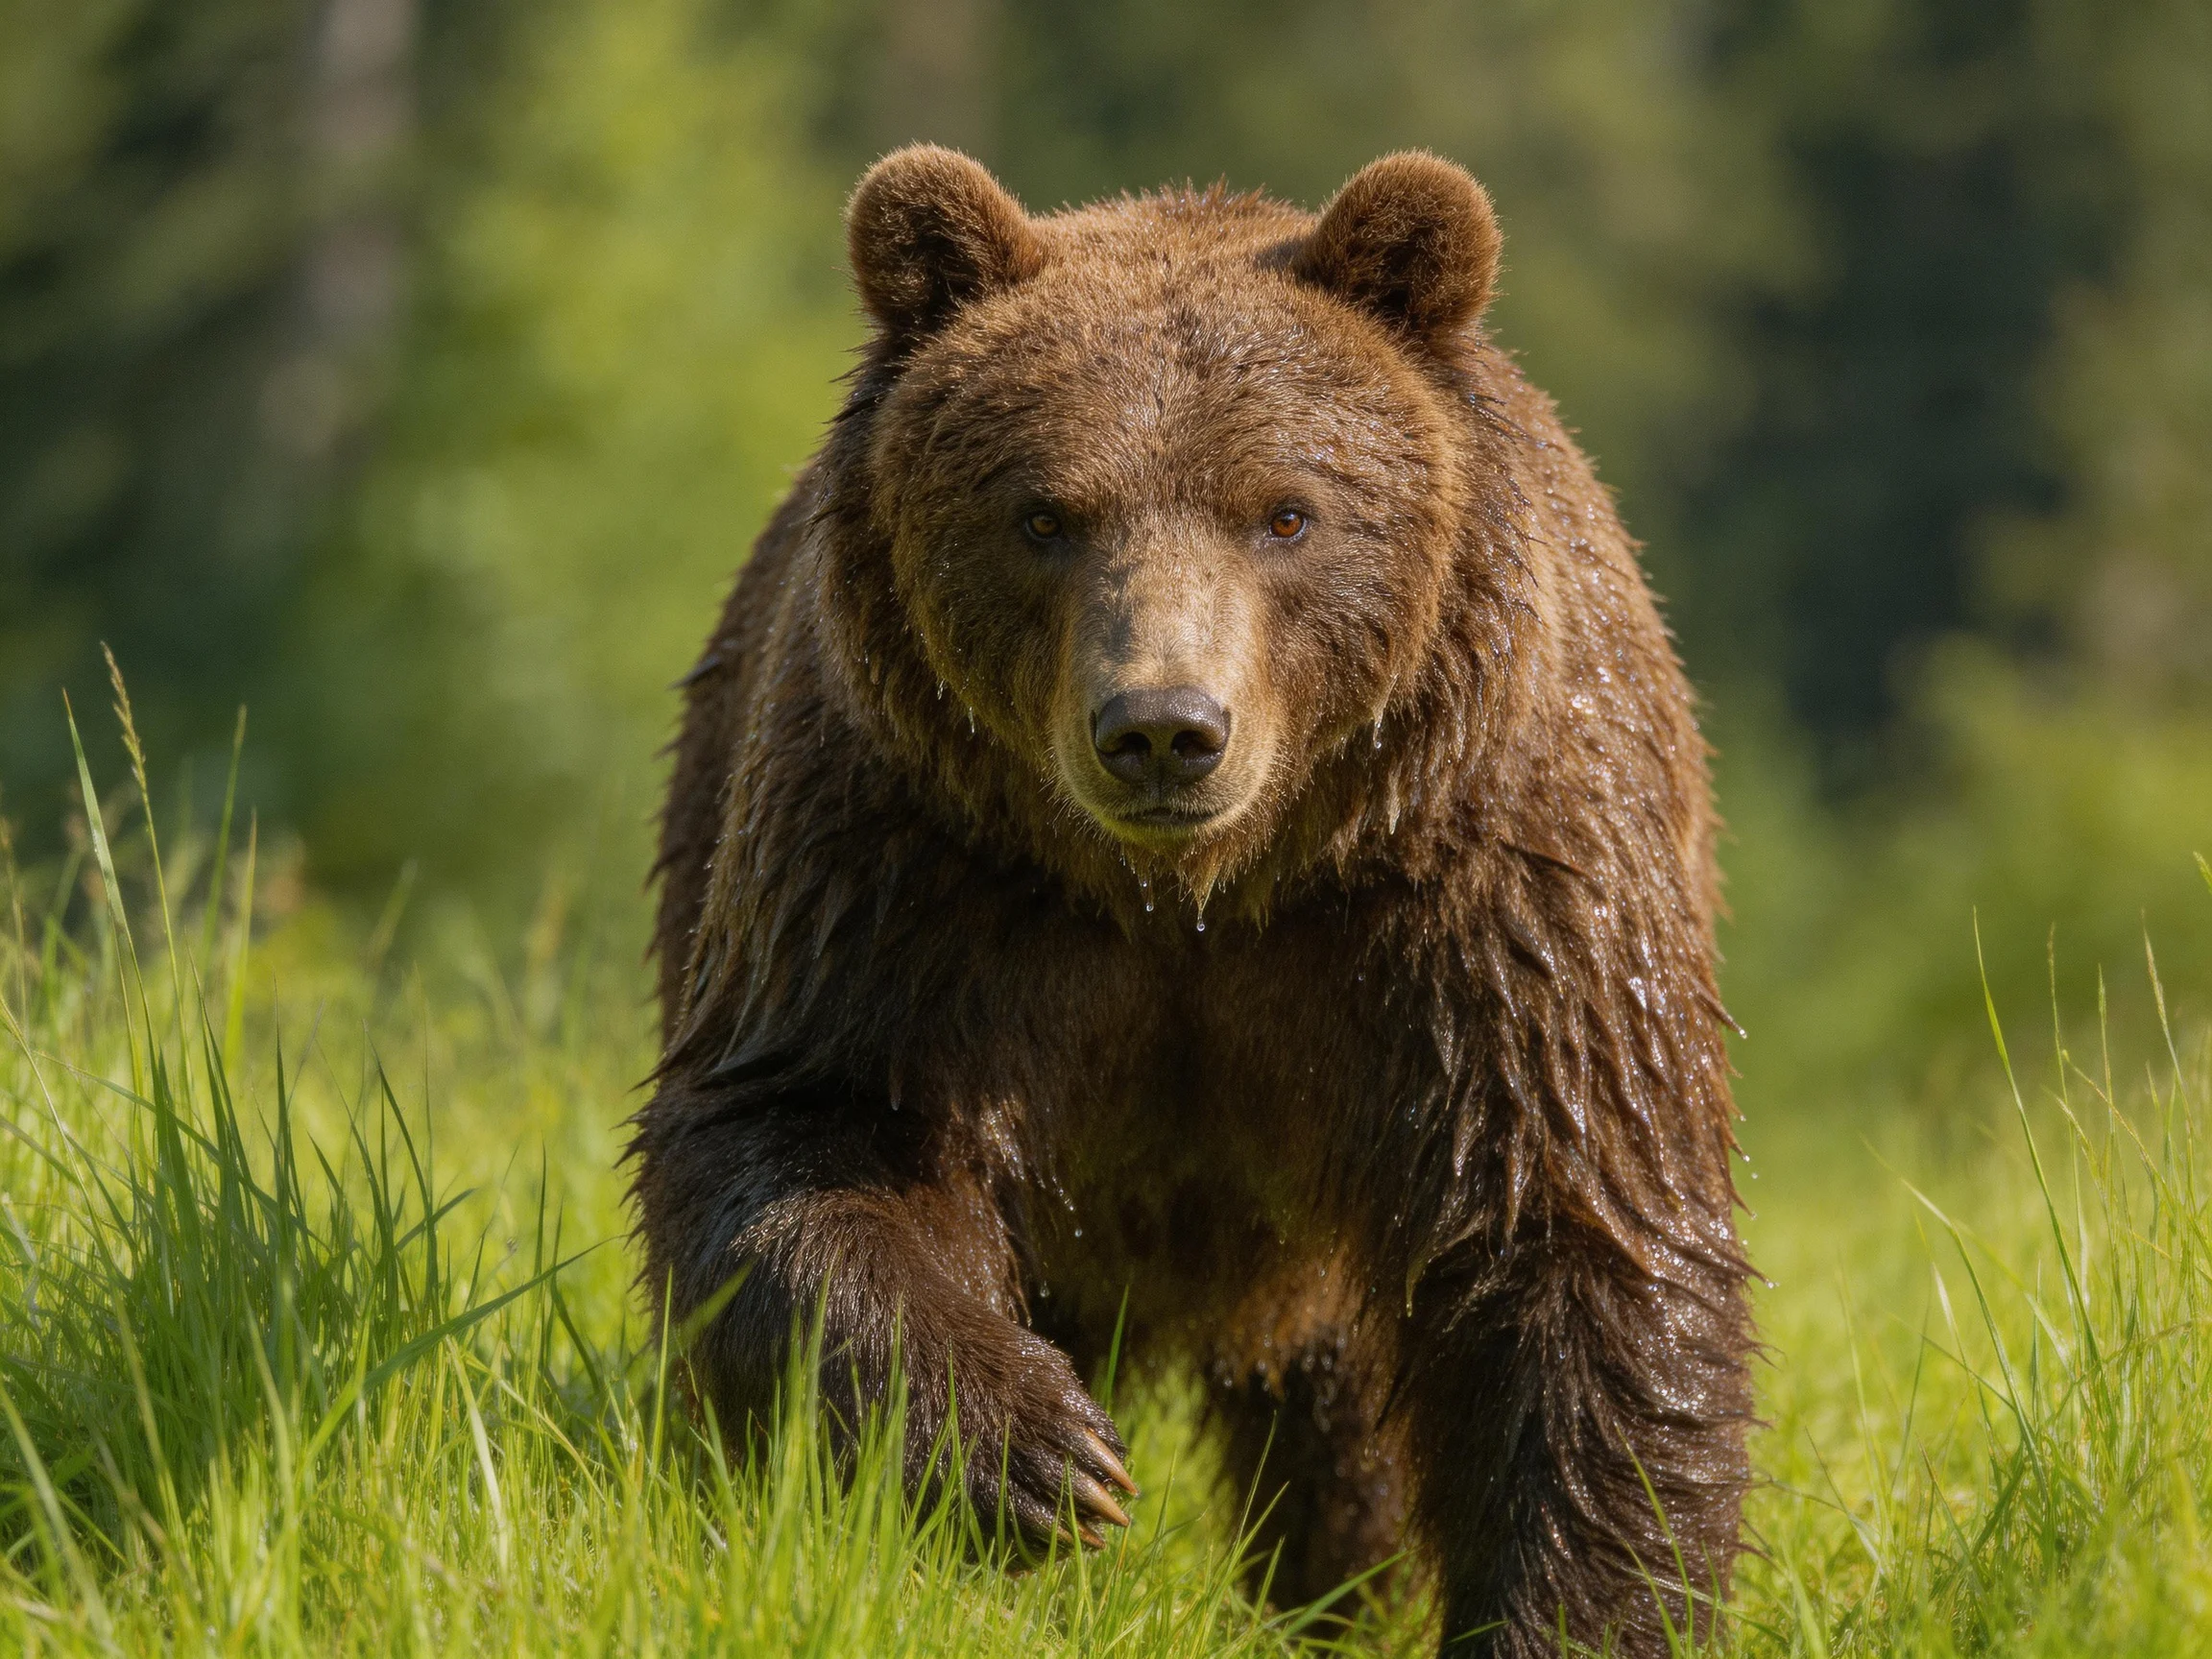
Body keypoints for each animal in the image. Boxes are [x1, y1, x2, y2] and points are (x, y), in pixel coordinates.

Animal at [632, 145, 1754, 1656]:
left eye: (1285, 511)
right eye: (1044, 514)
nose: (1164, 728)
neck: (1199, 894)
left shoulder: (1485, 886)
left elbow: (1580, 1228)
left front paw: (1578, 1613)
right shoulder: (904, 860)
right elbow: (807, 1131)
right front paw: (1038, 1456)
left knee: (1344, 1442)